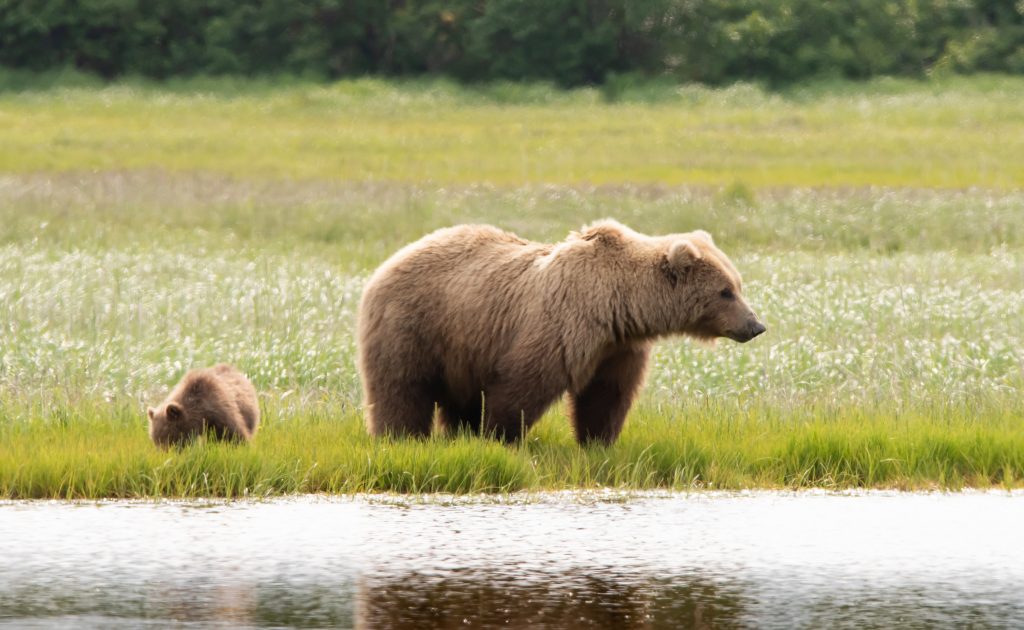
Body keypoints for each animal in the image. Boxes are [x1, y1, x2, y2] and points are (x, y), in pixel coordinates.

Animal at [356, 219, 765, 446]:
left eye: (737, 285)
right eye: (725, 292)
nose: (756, 325)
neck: (620, 304)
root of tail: (386, 263)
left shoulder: (617, 348)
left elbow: (607, 396)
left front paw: (598, 441)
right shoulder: (562, 327)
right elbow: (522, 386)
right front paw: (500, 437)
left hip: (464, 346)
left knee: (458, 400)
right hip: (415, 325)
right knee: (402, 388)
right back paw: (399, 437)